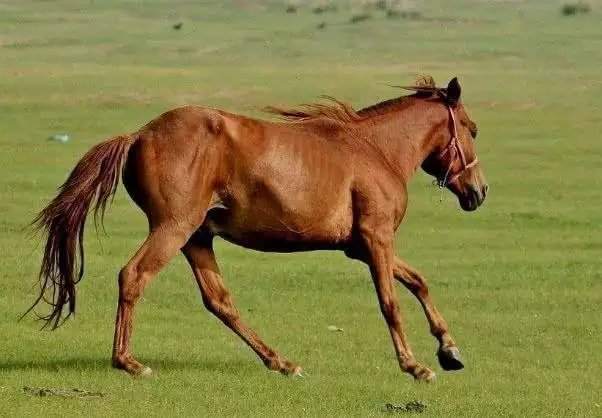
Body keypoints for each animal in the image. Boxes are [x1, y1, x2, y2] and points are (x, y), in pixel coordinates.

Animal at [29, 76, 488, 382]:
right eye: (472, 129)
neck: (376, 151)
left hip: (197, 237)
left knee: (220, 302)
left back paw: (281, 362)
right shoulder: (377, 239)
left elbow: (419, 281)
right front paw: (416, 366)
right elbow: (391, 302)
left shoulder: (359, 246)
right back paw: (129, 362)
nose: (479, 192)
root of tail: (140, 135)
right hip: (174, 228)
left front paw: (450, 350)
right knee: (134, 276)